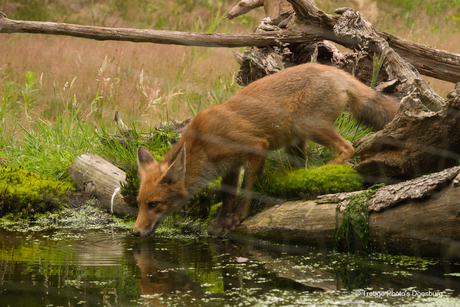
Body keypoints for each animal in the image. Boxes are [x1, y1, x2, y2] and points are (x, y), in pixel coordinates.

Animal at [133, 62, 398, 238]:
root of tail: (334, 70)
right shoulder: (230, 165)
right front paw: (221, 221)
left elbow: (248, 189)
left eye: (154, 204)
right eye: (139, 203)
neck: (204, 144)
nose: (135, 232)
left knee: (347, 148)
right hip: (296, 142)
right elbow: (227, 195)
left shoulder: (256, 148)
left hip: (307, 126)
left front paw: (238, 217)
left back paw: (323, 172)